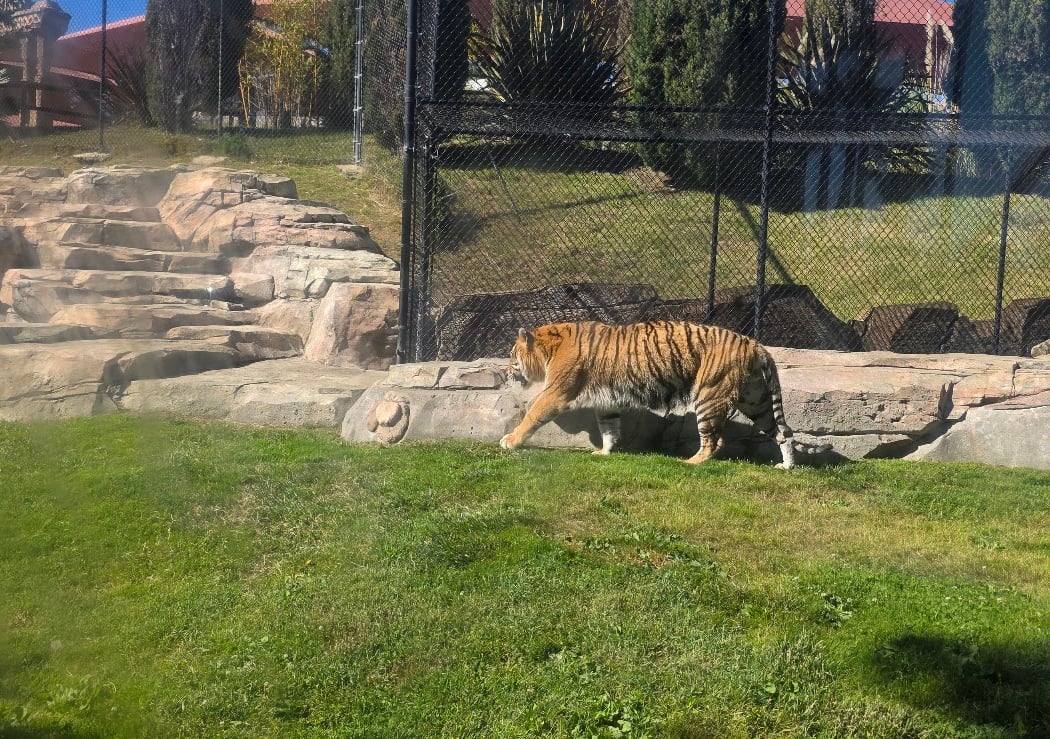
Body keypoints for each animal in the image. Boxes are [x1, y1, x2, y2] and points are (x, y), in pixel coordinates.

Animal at [499, 320, 797, 469]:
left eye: (512, 355)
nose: (506, 371)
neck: (550, 348)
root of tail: (755, 344)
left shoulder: (556, 392)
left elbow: (532, 414)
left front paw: (510, 441)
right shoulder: (606, 403)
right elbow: (609, 428)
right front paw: (605, 452)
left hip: (709, 395)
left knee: (714, 440)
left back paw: (691, 462)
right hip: (756, 400)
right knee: (783, 431)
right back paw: (787, 466)